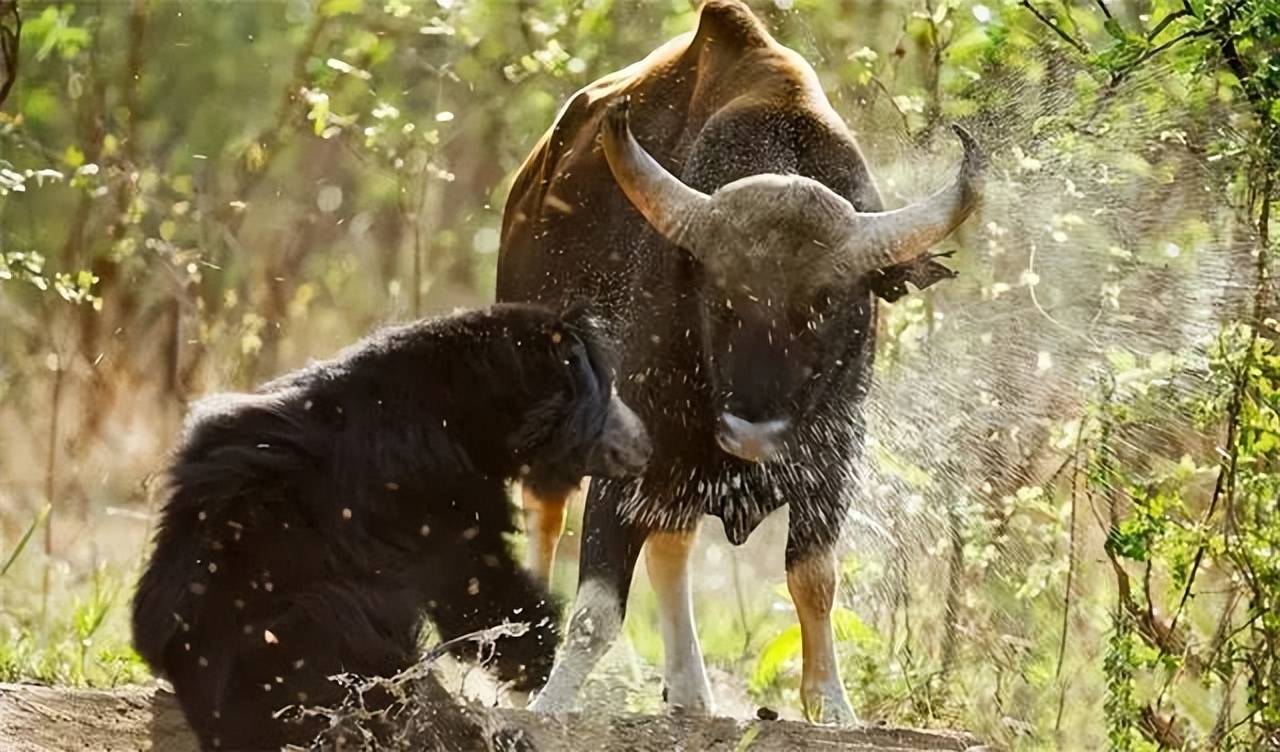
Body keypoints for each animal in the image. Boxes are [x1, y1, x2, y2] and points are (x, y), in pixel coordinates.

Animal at [132, 303, 650, 746]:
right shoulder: (433, 488)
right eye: (606, 398)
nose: (645, 445)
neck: (464, 403)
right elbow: (476, 581)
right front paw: (533, 659)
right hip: (313, 624)